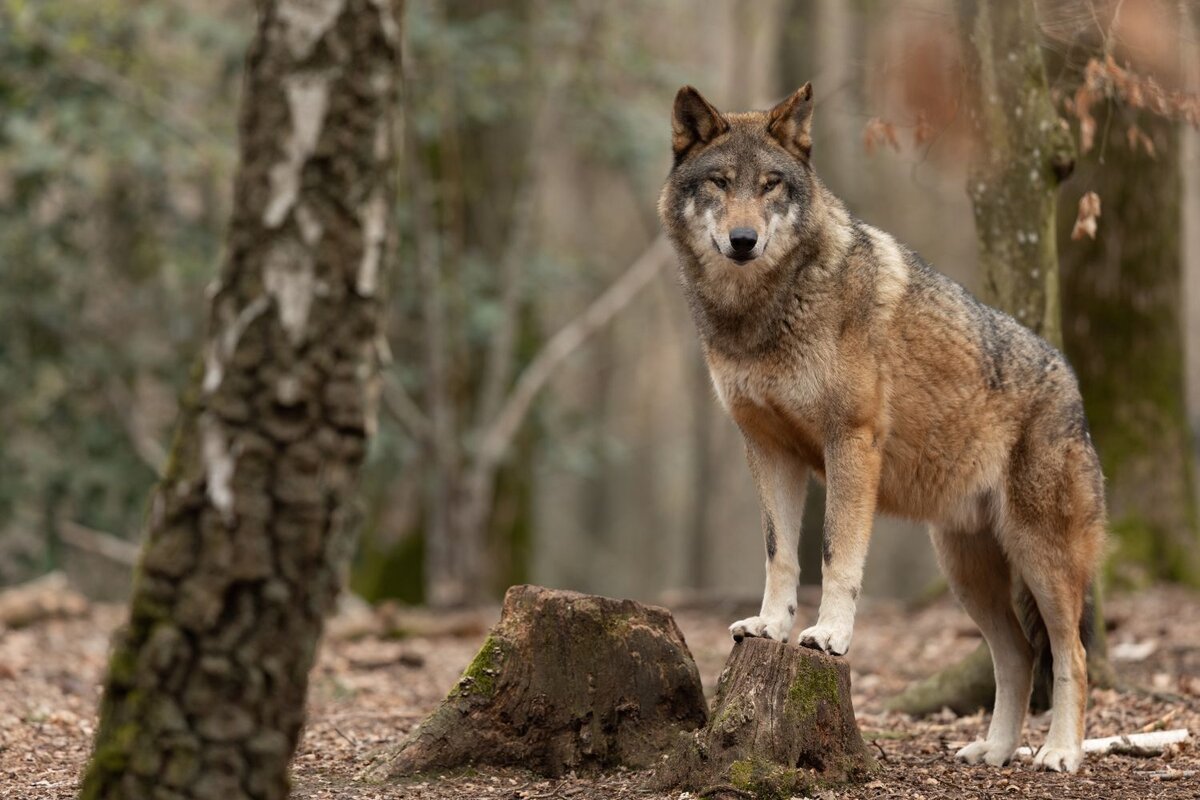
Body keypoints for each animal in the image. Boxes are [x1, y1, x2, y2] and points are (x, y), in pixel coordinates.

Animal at [657, 84, 1104, 772]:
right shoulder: (767, 449)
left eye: (770, 185)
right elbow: (781, 555)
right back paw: (996, 751)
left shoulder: (851, 443)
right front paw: (770, 627)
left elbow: (835, 554)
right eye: (720, 182)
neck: (761, 313)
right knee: (1018, 656)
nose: (743, 239)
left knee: (1071, 655)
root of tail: (1072, 381)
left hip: (1041, 559)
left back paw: (1059, 754)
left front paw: (829, 635)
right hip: (966, 572)